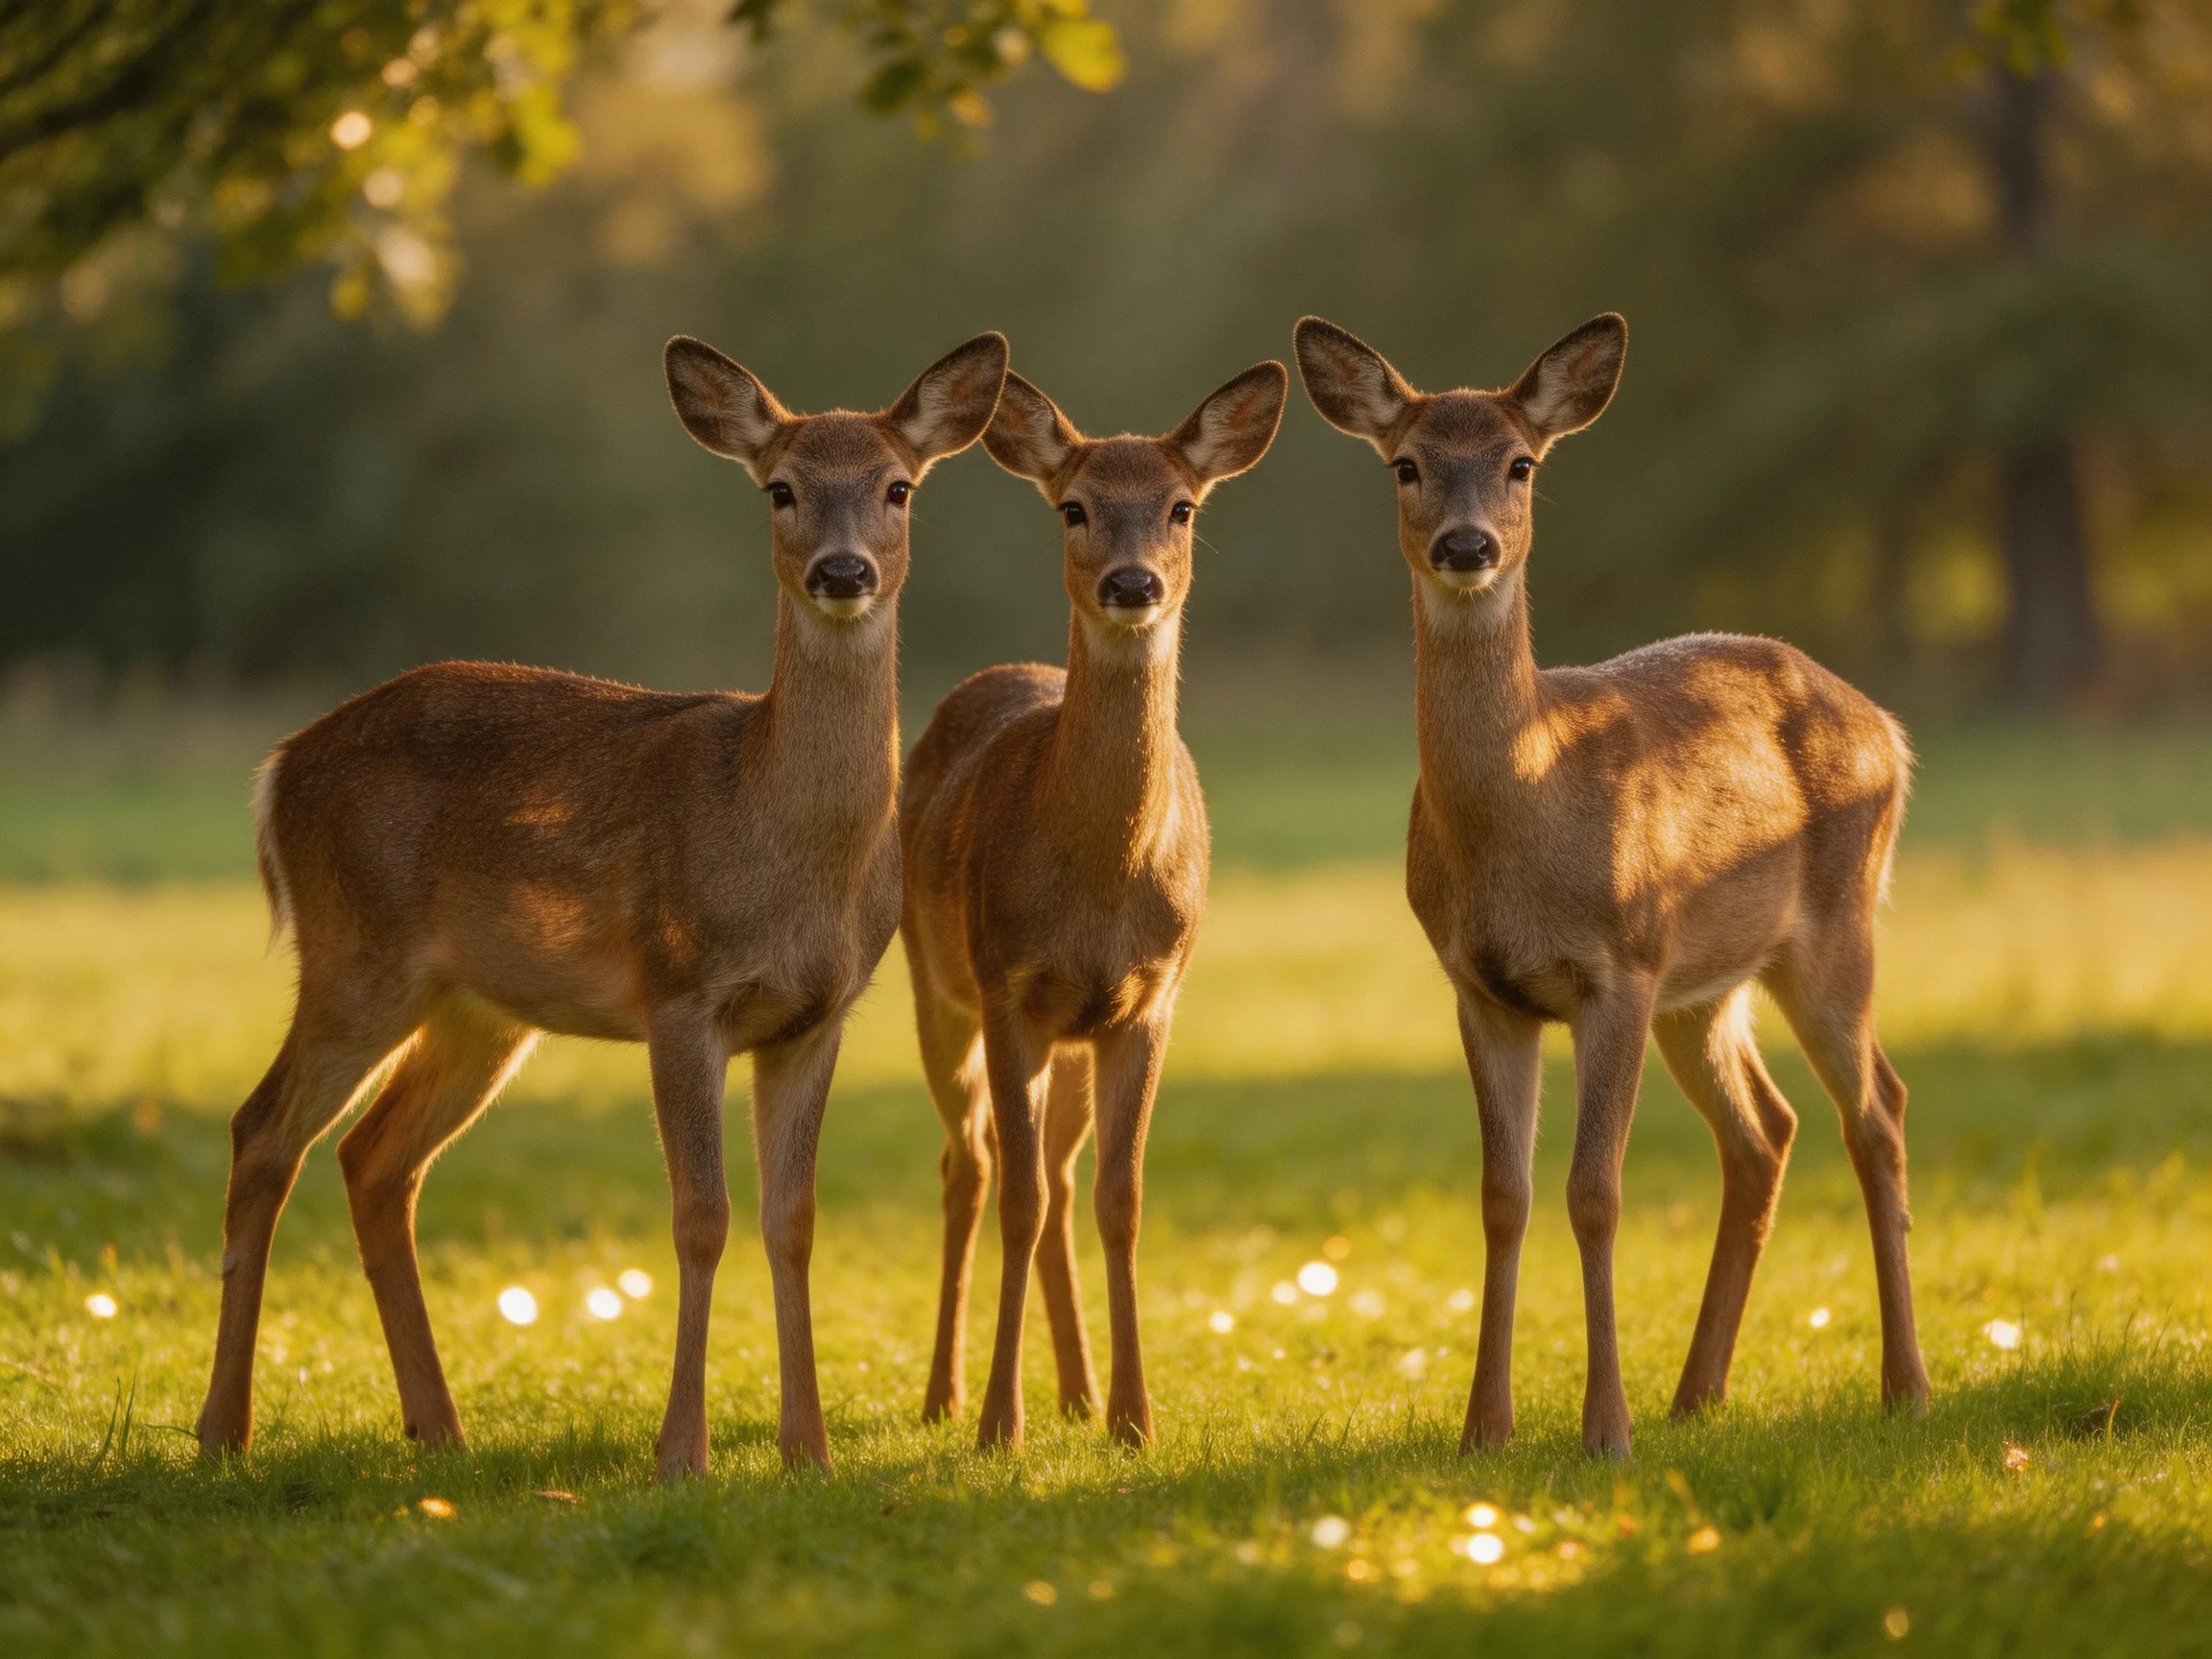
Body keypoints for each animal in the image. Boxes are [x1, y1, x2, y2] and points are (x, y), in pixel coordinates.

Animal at [192, 330, 1010, 1476]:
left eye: (899, 486)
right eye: (781, 488)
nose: (841, 571)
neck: (780, 842)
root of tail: (278, 770)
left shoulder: (817, 1016)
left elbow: (792, 1218)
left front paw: (808, 1450)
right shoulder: (678, 990)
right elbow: (701, 1214)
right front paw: (682, 1453)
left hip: (478, 1010)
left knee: (375, 1159)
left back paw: (440, 1429)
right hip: (357, 954)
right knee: (263, 1131)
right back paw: (225, 1429)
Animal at [898, 360, 1287, 1450]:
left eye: (1182, 506)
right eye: (1072, 506)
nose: (1132, 583)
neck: (1101, 888)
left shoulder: (1149, 999)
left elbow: (1122, 1198)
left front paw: (1133, 1418)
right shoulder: (1007, 989)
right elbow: (1018, 1198)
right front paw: (1000, 1422)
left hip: (1072, 1035)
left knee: (1063, 1178)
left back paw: (1075, 1391)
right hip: (934, 986)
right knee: (970, 1169)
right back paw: (946, 1396)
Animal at [1293, 313, 1929, 1459]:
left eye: (1521, 463)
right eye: (1405, 464)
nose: (1467, 546)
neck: (1527, 809)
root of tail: (1888, 729)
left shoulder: (1620, 969)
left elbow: (1594, 1192)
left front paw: (1605, 1432)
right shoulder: (1480, 988)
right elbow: (1503, 1195)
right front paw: (1484, 1430)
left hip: (1834, 928)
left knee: (1878, 1112)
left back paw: (1905, 1387)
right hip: (1705, 990)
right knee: (1767, 1131)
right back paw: (1698, 1395)